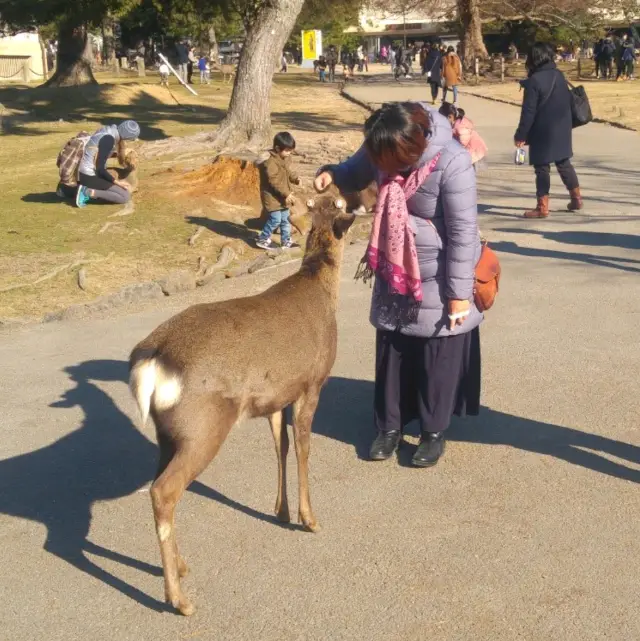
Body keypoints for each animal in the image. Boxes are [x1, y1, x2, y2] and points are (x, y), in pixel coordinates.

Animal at [129, 195, 356, 616]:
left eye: (327, 200)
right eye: (338, 201)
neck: (319, 288)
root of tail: (152, 356)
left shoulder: (275, 396)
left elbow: (280, 447)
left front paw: (281, 511)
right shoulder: (313, 382)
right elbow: (304, 447)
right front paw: (309, 518)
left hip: (168, 433)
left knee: (157, 486)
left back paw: (180, 568)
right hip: (203, 425)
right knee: (164, 491)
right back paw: (179, 600)